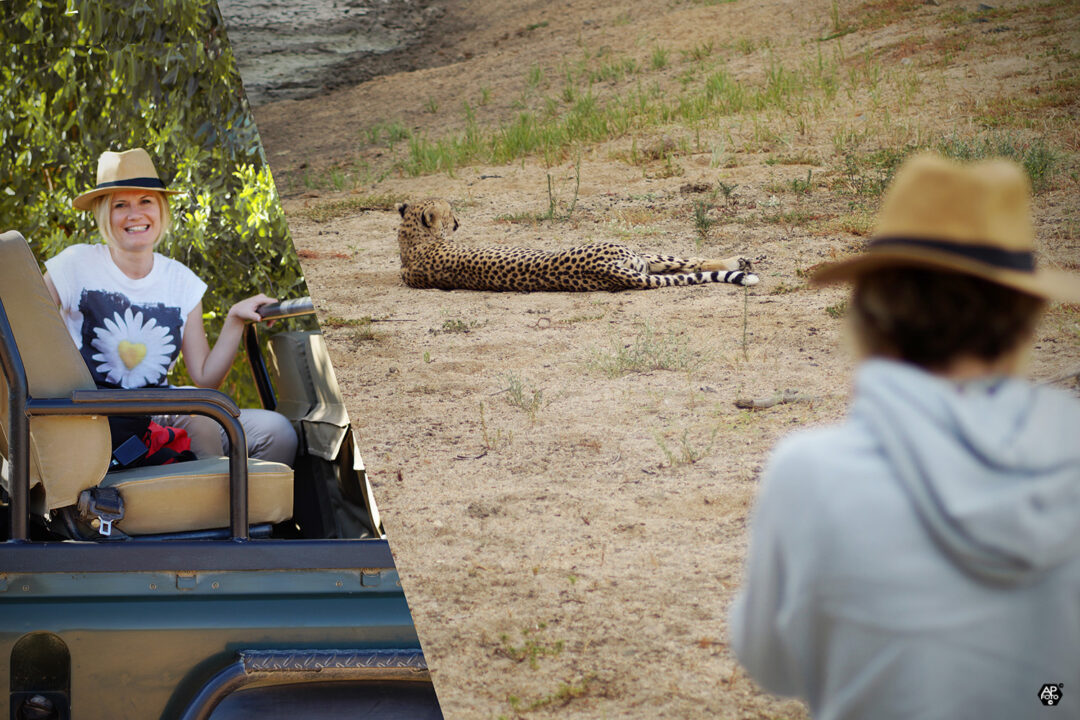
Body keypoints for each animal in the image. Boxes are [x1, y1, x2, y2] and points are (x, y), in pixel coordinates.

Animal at [397, 197, 760, 293]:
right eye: (450, 212)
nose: (458, 221)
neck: (410, 242)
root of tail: (604, 269)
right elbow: (692, 261)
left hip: (637, 260)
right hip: (633, 254)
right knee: (688, 262)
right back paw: (740, 261)